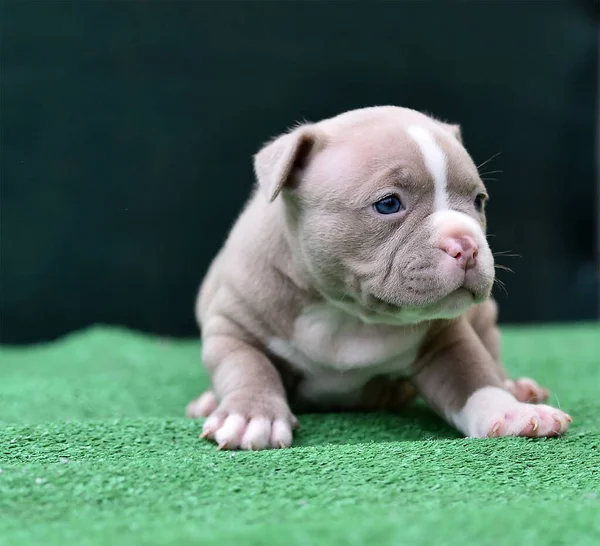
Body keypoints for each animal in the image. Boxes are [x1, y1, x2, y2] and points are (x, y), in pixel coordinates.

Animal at [188, 105, 572, 446]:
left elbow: (473, 376)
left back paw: (517, 388)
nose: (466, 244)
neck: (346, 312)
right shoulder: (233, 326)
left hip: (485, 318)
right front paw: (252, 415)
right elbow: (248, 367)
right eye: (388, 204)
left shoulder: (445, 340)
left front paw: (510, 412)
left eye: (478, 201)